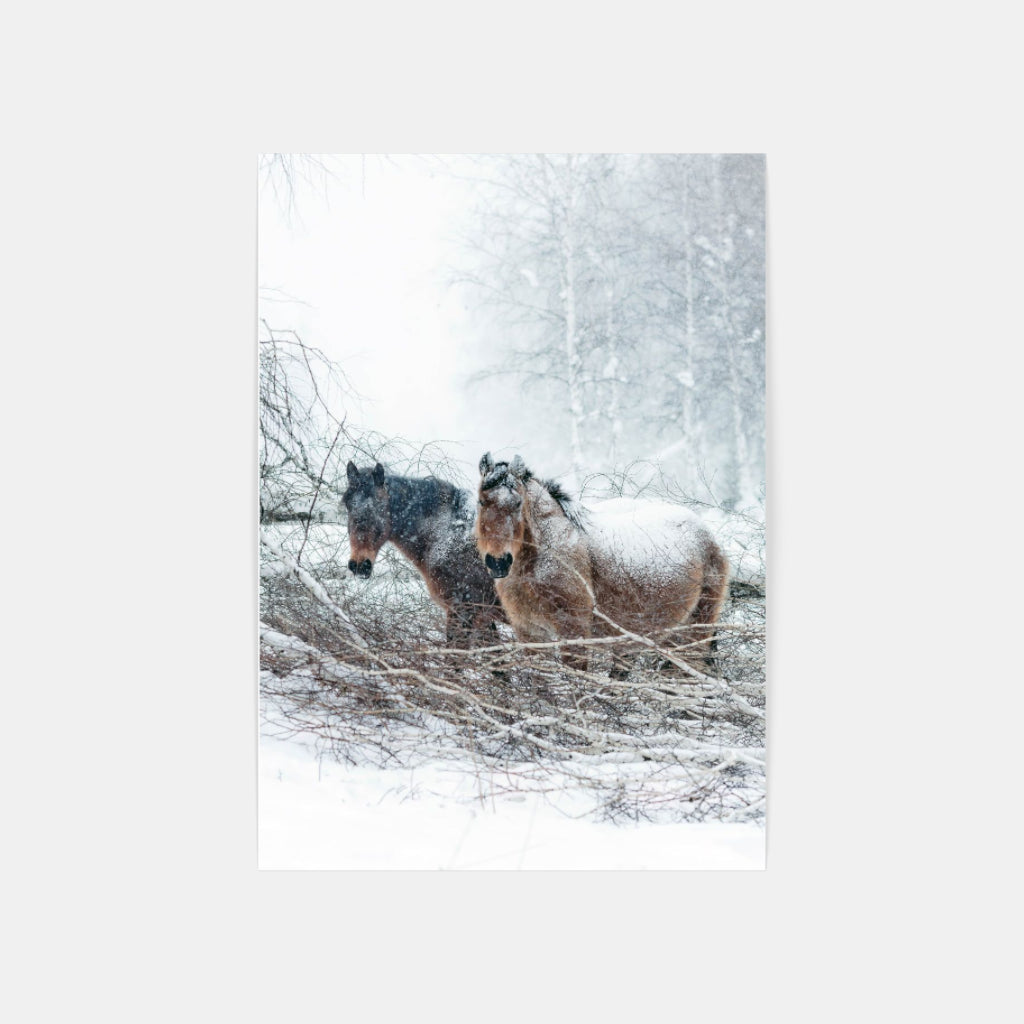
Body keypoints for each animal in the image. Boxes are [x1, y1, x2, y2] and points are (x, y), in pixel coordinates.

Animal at [342, 461, 506, 643]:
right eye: (347, 504)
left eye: (380, 505)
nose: (359, 565)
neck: (444, 533)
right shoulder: (483, 617)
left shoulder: (463, 609)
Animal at [473, 453, 729, 673]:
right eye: (481, 502)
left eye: (518, 504)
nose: (498, 562)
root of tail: (709, 535)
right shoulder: (529, 632)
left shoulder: (573, 630)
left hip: (694, 633)